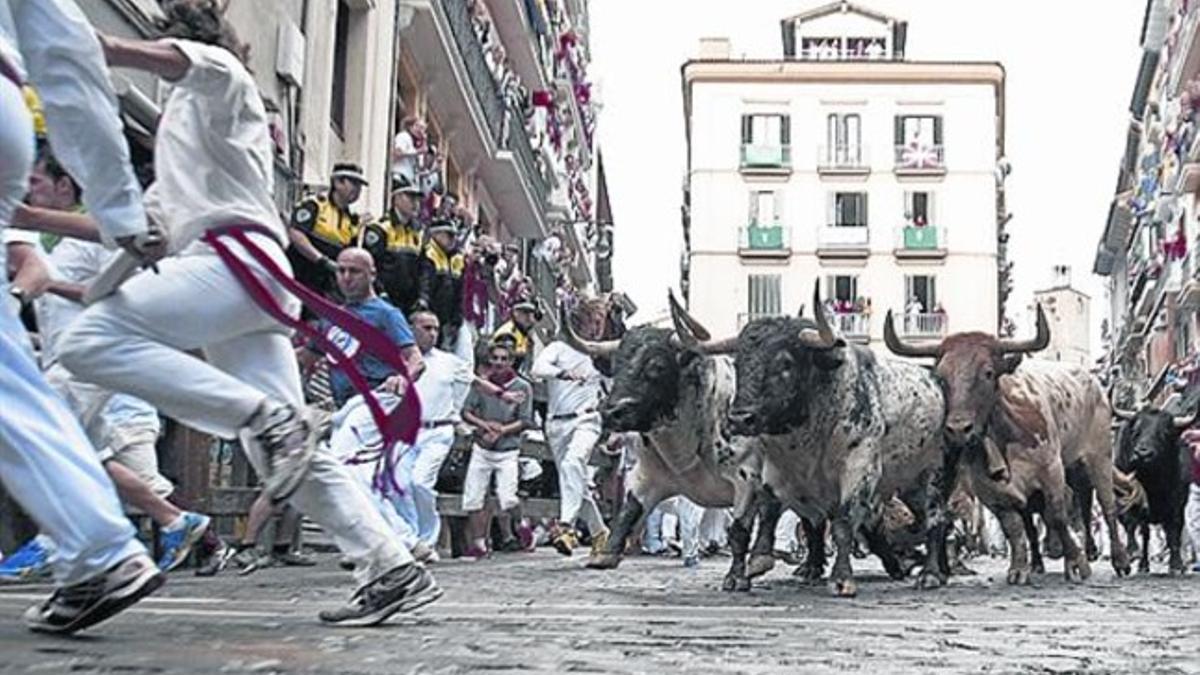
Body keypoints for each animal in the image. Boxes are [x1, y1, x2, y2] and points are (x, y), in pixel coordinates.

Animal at [720, 281, 955, 595]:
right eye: (738, 364)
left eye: (785, 364)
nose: (739, 418)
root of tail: (937, 380)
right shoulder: (767, 473)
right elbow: (755, 522)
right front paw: (745, 570)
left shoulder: (859, 468)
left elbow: (843, 523)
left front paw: (842, 579)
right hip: (908, 482)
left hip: (933, 475)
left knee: (936, 519)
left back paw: (930, 573)